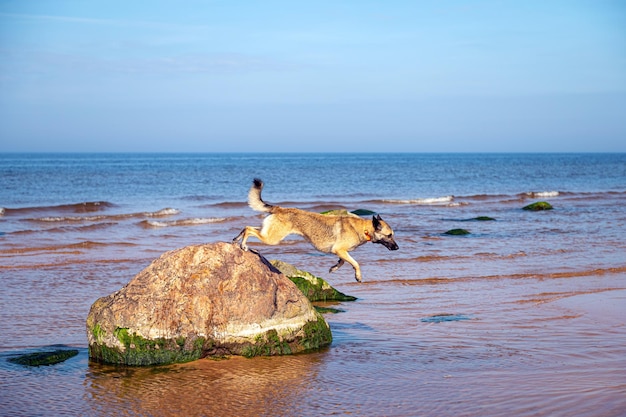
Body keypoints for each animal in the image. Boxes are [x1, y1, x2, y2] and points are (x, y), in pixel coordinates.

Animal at [232, 177, 398, 282]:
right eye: (389, 235)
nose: (397, 248)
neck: (364, 228)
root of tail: (279, 208)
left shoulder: (340, 252)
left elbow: (343, 262)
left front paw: (334, 268)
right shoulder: (340, 250)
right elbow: (355, 263)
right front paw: (358, 276)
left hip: (268, 232)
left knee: (247, 227)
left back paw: (236, 240)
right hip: (271, 238)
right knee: (249, 229)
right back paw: (243, 245)